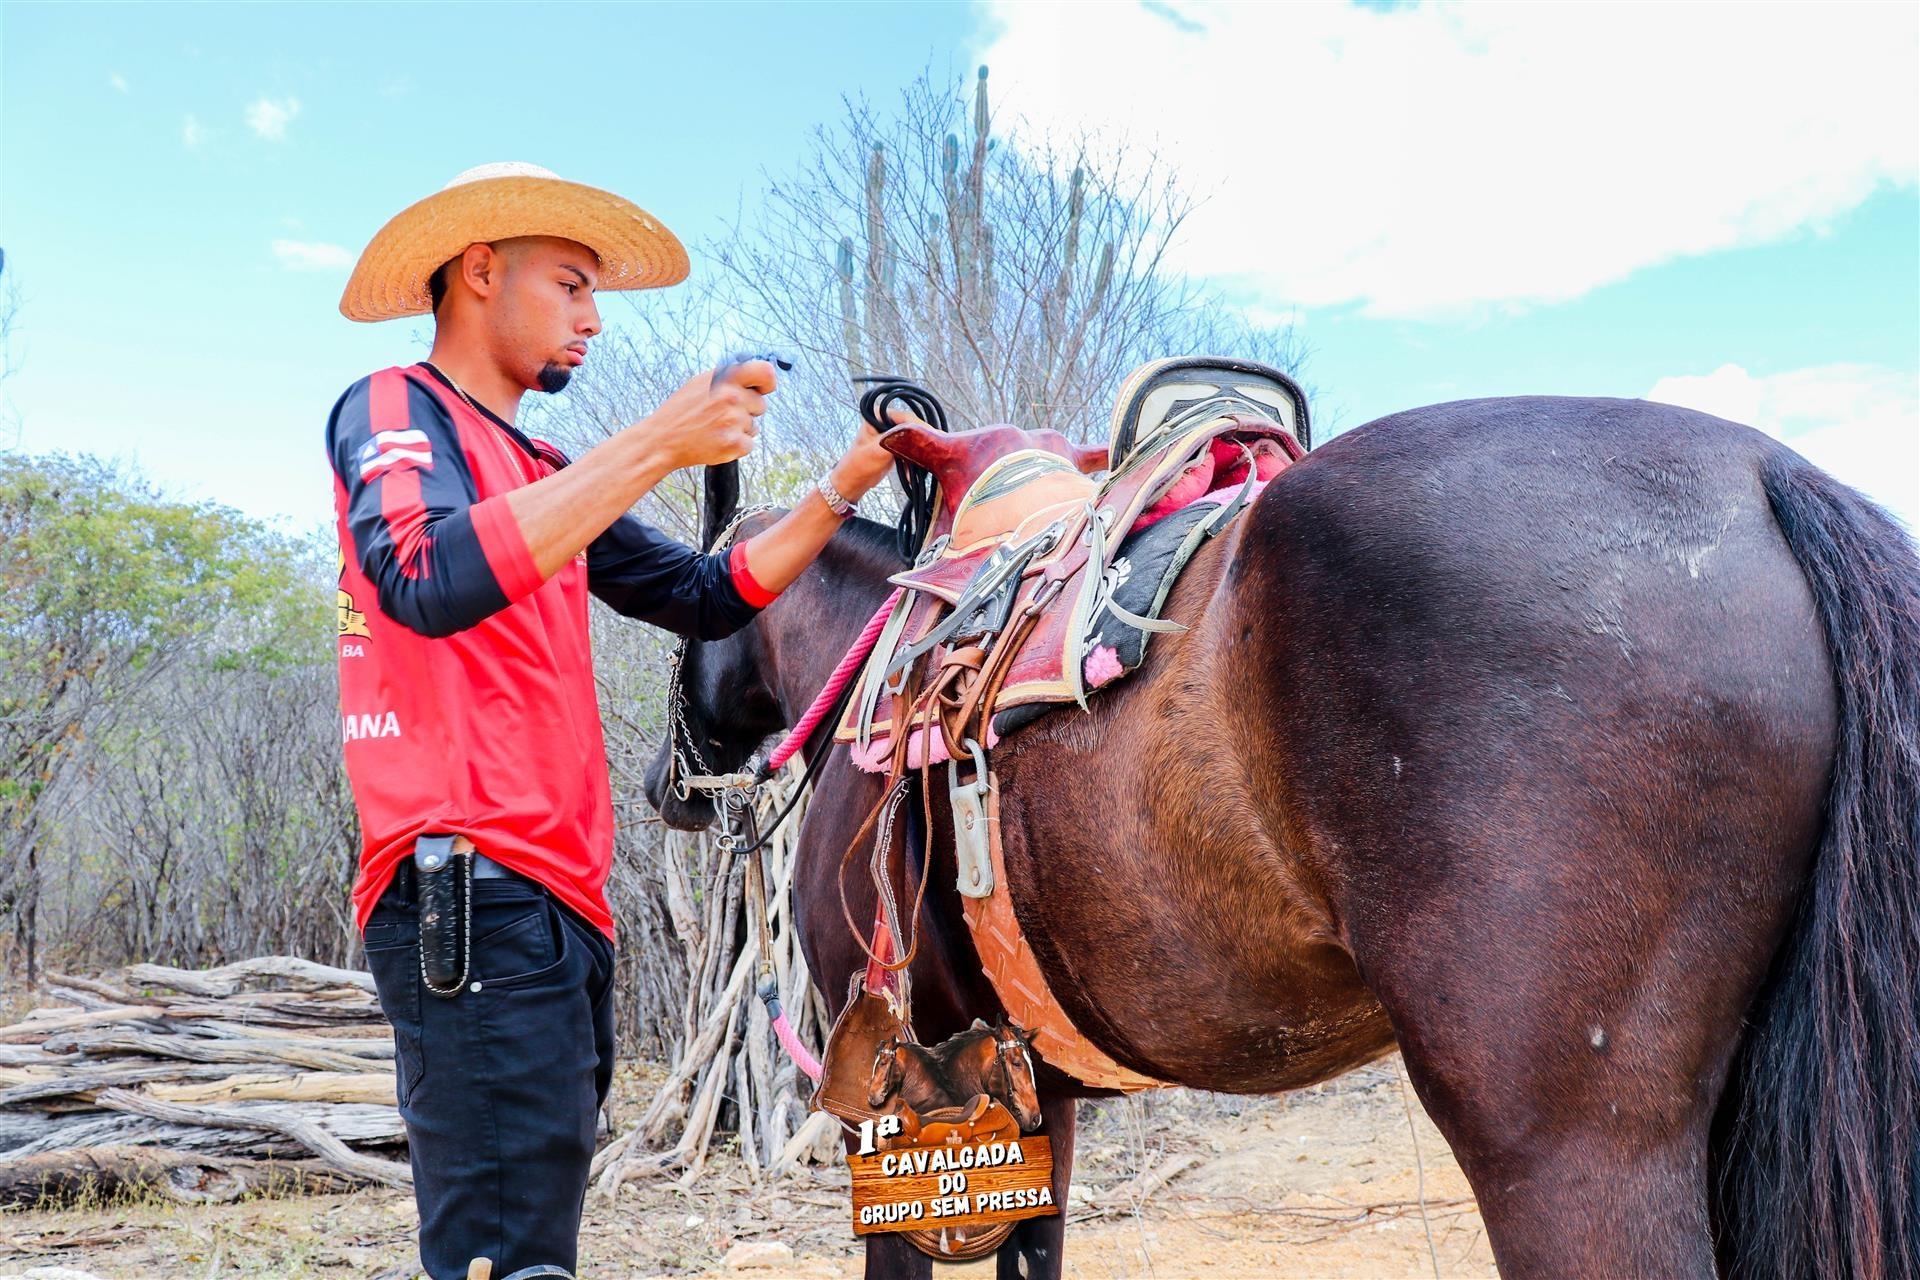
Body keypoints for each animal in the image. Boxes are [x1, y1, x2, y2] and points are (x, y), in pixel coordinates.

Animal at [644, 396, 1919, 1280]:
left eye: (684, 618)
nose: (670, 785)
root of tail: (1765, 477)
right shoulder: (1036, 1089)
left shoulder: (894, 1097)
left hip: (1571, 1146)